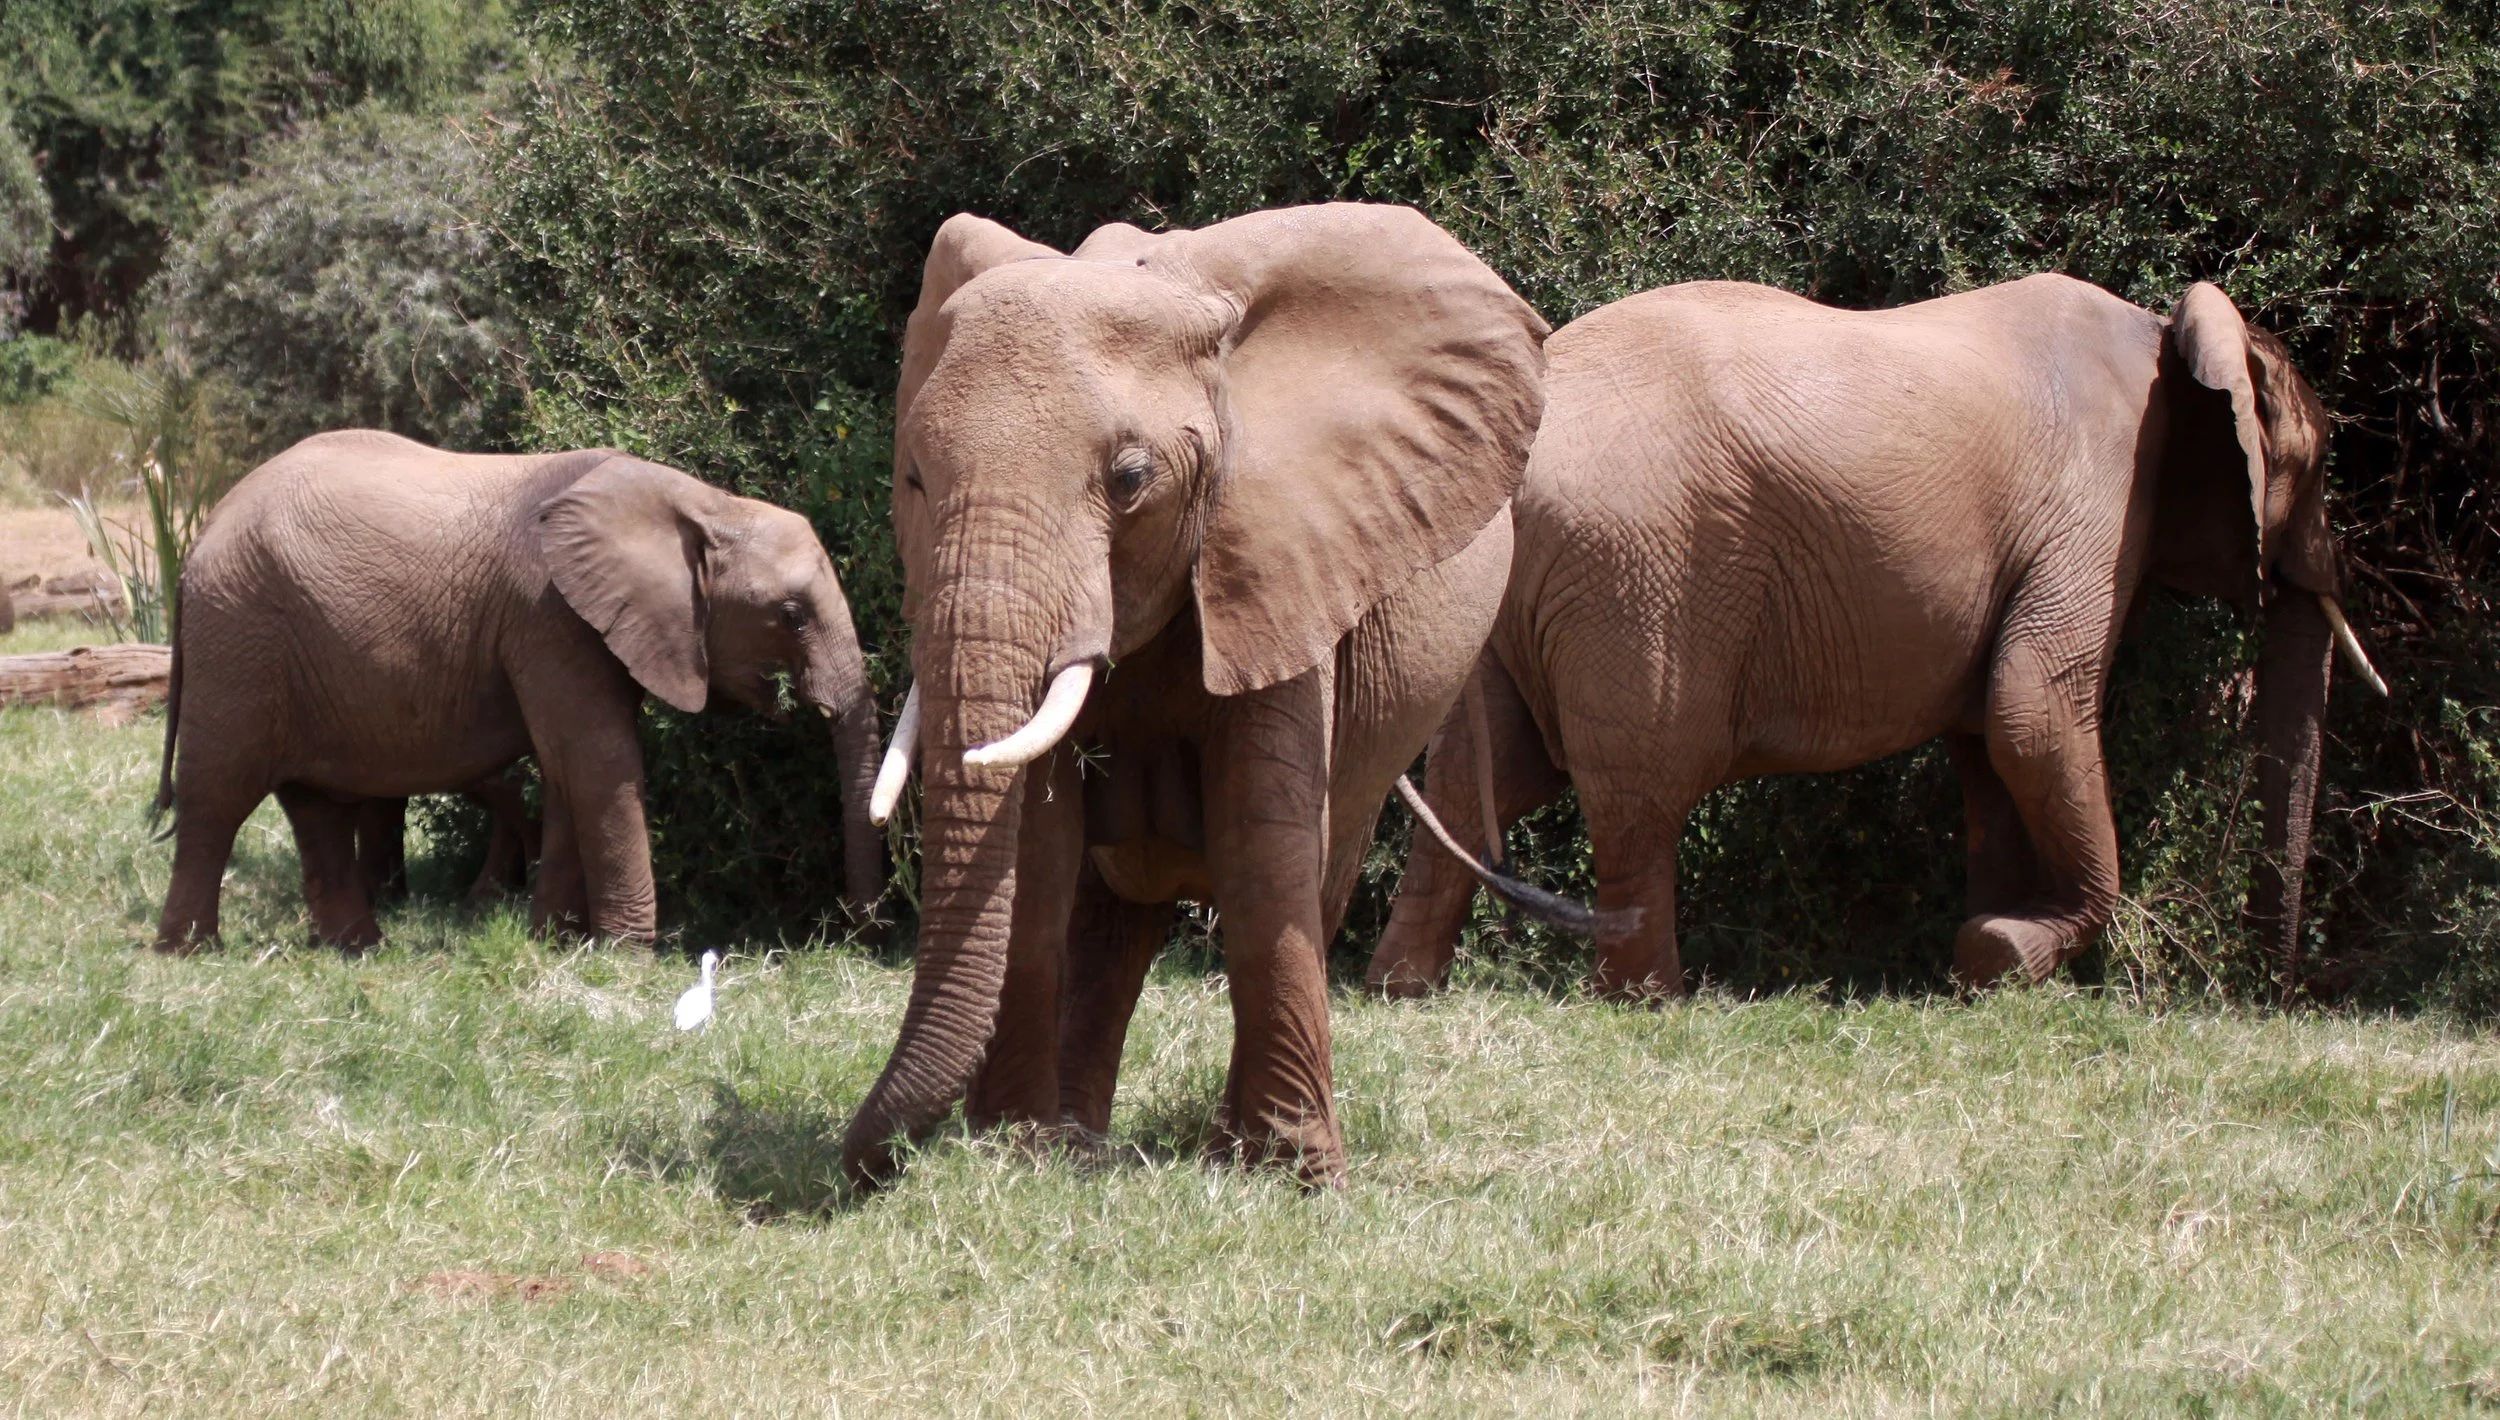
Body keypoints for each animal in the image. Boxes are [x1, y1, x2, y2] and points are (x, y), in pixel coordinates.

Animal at [152, 429, 883, 952]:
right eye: (791, 615)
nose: (852, 934)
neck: (701, 503)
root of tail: (201, 535)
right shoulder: (550, 615)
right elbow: (598, 761)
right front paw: (628, 955)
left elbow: (565, 769)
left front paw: (552, 943)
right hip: (240, 635)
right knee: (217, 793)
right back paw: (190, 951)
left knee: (317, 805)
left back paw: (357, 949)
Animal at [839, 203, 1547, 1189]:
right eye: (914, 478)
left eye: (1132, 479)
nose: (866, 1164)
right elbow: (1038, 856)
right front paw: (1016, 1150)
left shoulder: (1285, 556)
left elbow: (1261, 846)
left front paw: (1293, 1178)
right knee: (1111, 925)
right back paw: (1078, 1142)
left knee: (1315, 879)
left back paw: (1219, 1147)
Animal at [1366, 276, 2382, 1000]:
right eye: (2322, 462)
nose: (2276, 992)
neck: (2168, 330)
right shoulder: (2096, 503)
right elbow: (2031, 708)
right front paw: (2002, 952)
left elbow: (1989, 745)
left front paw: (1981, 962)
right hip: (1639, 575)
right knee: (1639, 787)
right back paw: (1650, 1002)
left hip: (1514, 598)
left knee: (1476, 782)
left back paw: (1404, 989)